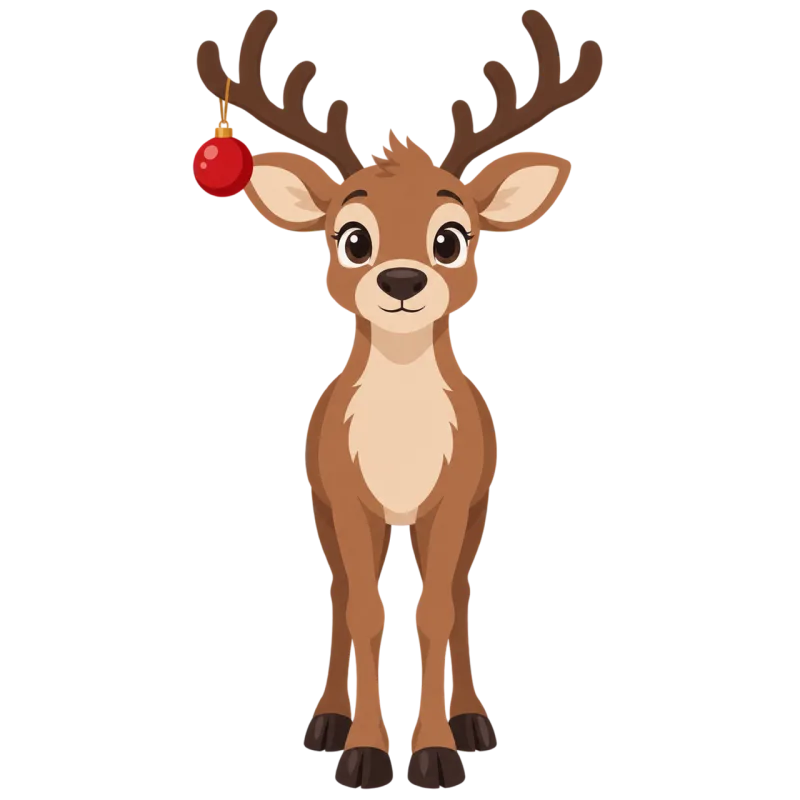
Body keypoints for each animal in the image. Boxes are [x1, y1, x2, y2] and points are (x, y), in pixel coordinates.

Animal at [195, 7, 604, 791]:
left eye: (453, 238)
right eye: (352, 238)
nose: (404, 281)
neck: (402, 446)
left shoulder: (457, 498)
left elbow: (439, 611)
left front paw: (437, 752)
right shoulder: (344, 497)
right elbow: (361, 611)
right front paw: (362, 752)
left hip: (478, 503)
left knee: (464, 599)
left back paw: (473, 719)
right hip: (324, 503)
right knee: (337, 596)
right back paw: (328, 719)